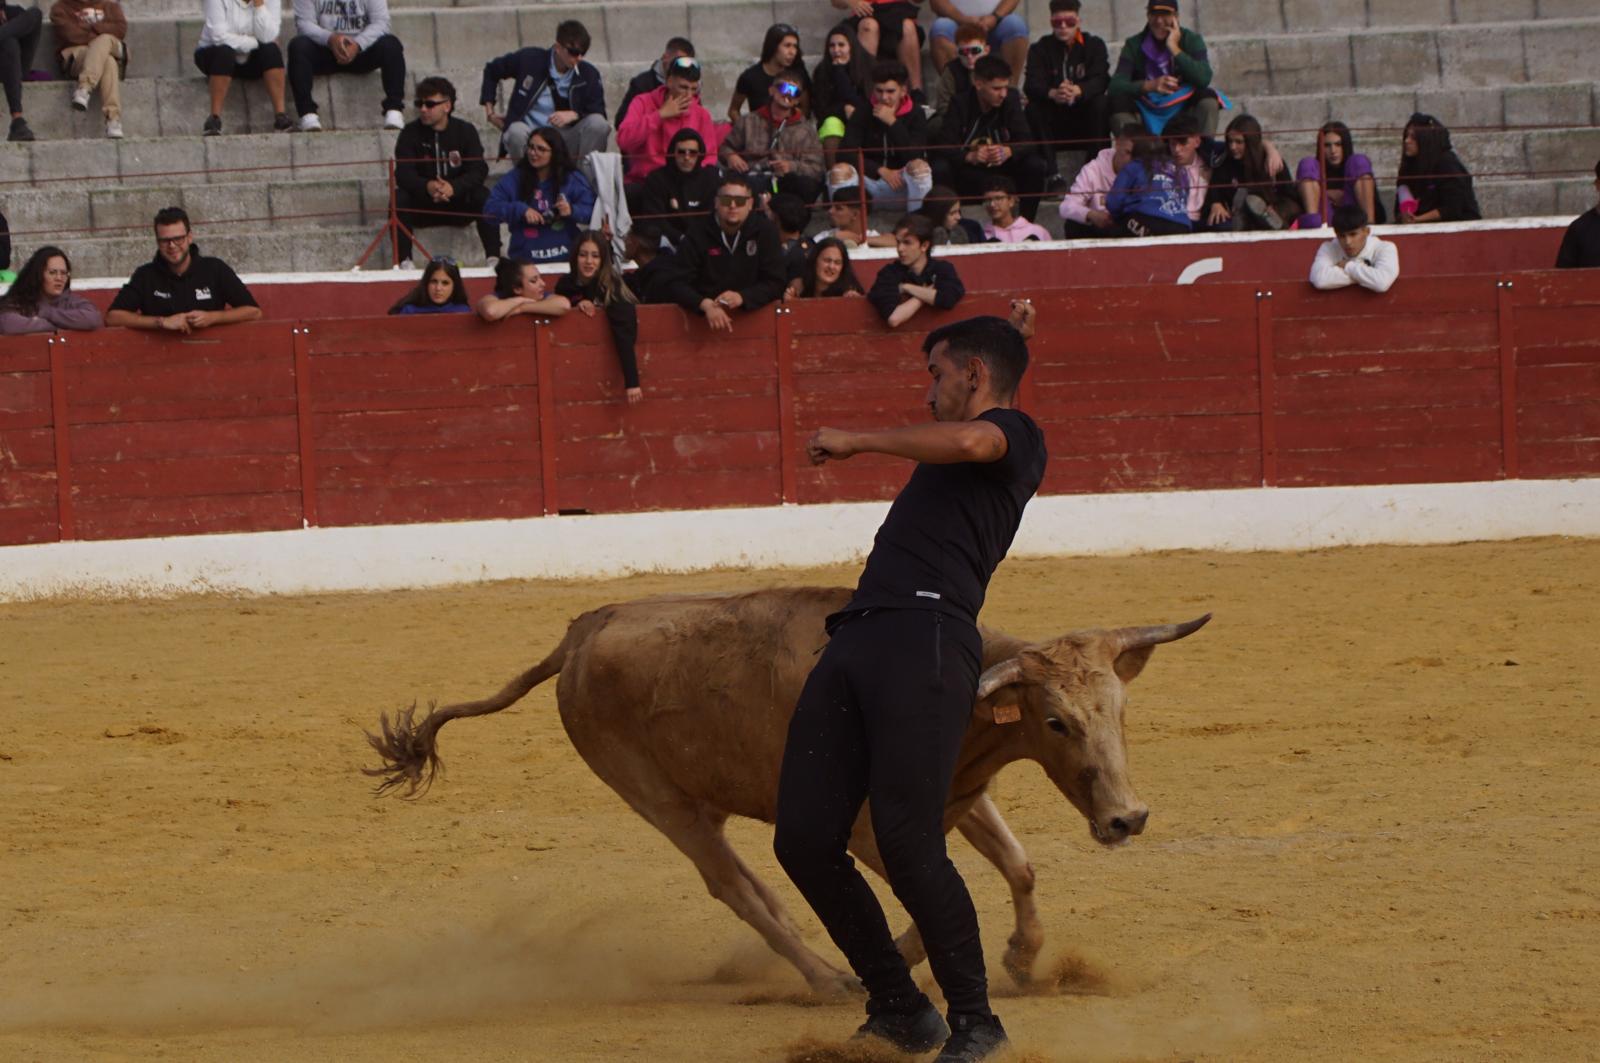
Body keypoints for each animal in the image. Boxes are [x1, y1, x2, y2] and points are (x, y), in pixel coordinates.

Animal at [366, 585, 1209, 992]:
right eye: (1056, 722)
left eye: (1119, 709)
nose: (1127, 817)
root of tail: (581, 630)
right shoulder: (869, 825)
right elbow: (938, 888)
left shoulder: (960, 795)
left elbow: (1017, 865)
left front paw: (1023, 958)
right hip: (661, 802)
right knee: (735, 887)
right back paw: (826, 978)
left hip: (699, 800)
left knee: (756, 887)